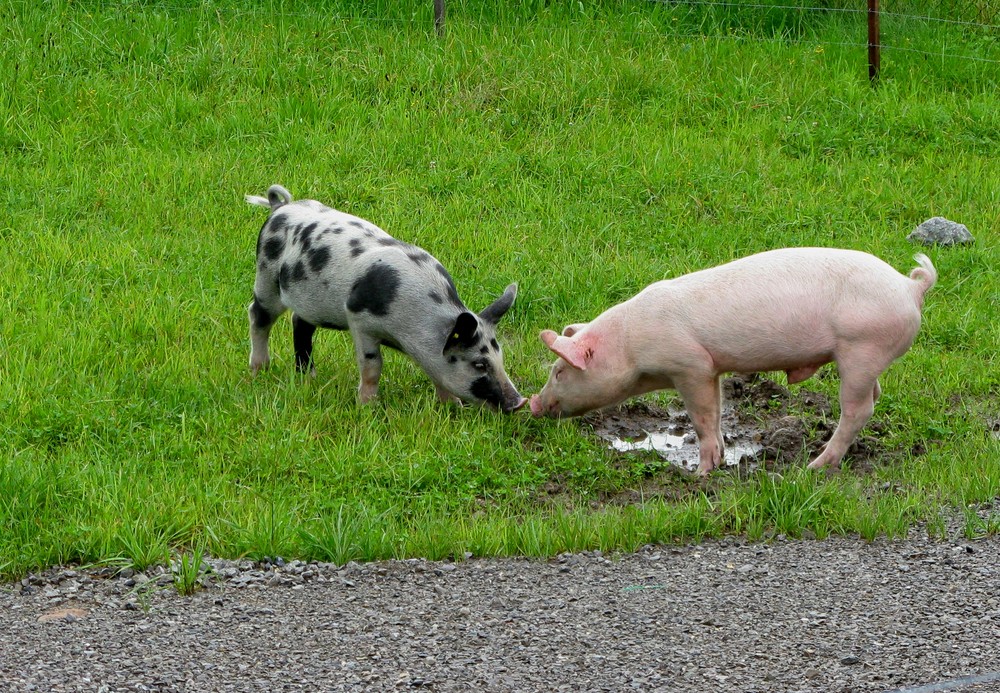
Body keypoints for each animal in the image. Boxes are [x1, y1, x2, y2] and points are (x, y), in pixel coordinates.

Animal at [246, 184, 528, 410]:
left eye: (500, 357)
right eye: (479, 364)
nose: (520, 402)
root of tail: (280, 208)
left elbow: (437, 375)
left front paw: (454, 406)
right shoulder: (357, 318)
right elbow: (373, 367)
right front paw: (367, 407)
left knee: (299, 323)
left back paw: (309, 378)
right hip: (266, 277)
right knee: (258, 315)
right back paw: (259, 370)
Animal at [532, 246, 936, 474]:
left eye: (560, 370)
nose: (534, 403)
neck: (631, 345)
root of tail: (911, 287)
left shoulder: (689, 365)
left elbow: (701, 417)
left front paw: (701, 474)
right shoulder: (711, 369)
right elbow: (716, 410)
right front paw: (721, 460)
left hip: (861, 348)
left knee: (859, 408)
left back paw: (816, 465)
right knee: (874, 397)